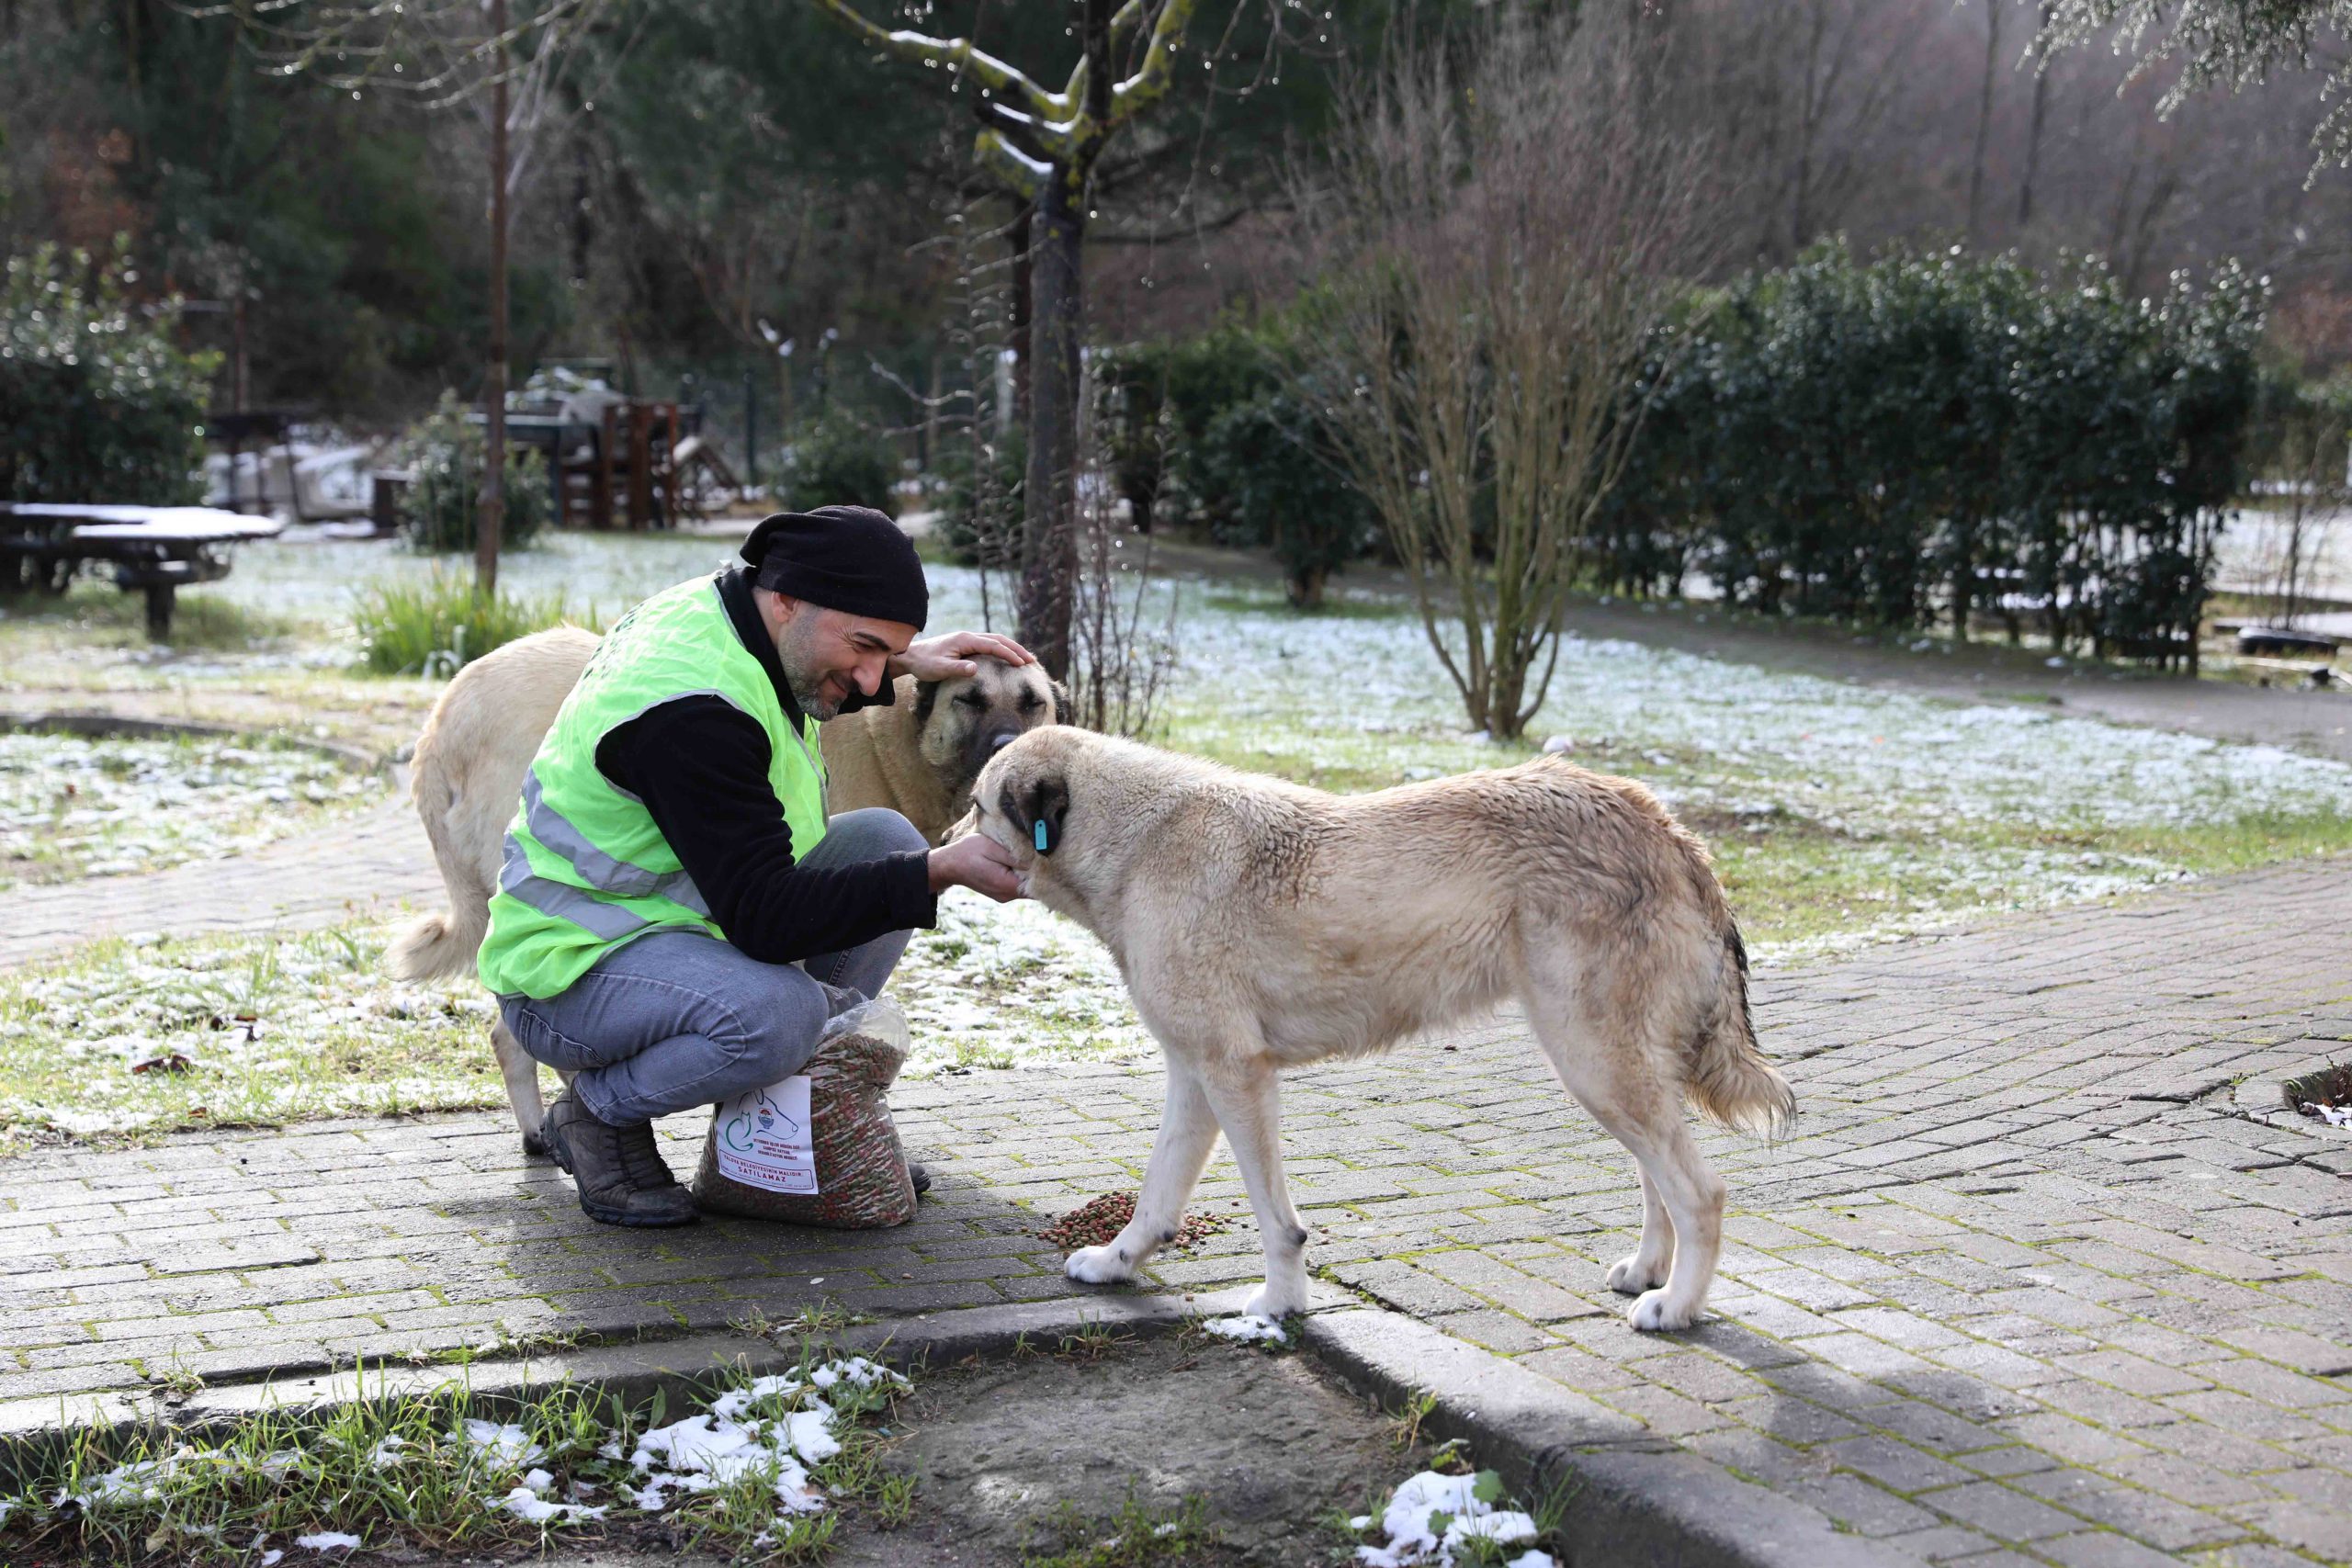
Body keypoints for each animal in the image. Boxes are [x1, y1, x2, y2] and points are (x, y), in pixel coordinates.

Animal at [388, 620, 1068, 1152]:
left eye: (1031, 701)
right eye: (970, 699)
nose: (1009, 746)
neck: (896, 739)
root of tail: (445, 721)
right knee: (513, 1032)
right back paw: (547, 1132)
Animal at [964, 728, 1787, 1335]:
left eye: (976, 809)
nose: (943, 836)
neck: (1137, 842)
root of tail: (1667, 828)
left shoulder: (1235, 1073)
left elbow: (1276, 1221)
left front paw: (1279, 1306)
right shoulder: (1194, 1077)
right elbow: (1157, 1195)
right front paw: (1116, 1263)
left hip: (1594, 1062)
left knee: (1701, 1191)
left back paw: (1675, 1307)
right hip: (1609, 1069)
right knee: (1659, 1179)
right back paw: (1648, 1273)